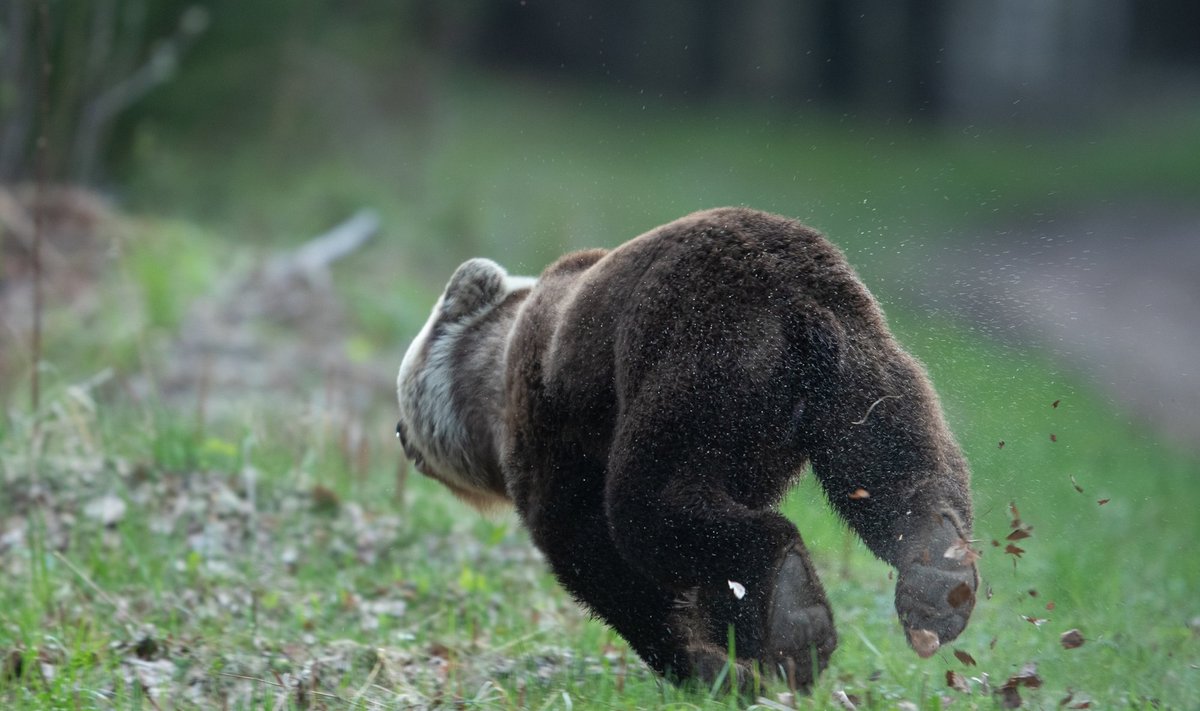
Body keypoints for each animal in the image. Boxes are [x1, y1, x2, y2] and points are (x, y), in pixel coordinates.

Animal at [398, 205, 979, 686]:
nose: (402, 438)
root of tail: (793, 296)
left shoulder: (553, 423)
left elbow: (589, 549)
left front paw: (707, 664)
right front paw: (737, 654)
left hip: (694, 359)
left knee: (649, 506)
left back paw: (796, 617)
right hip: (859, 367)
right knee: (896, 468)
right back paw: (938, 577)